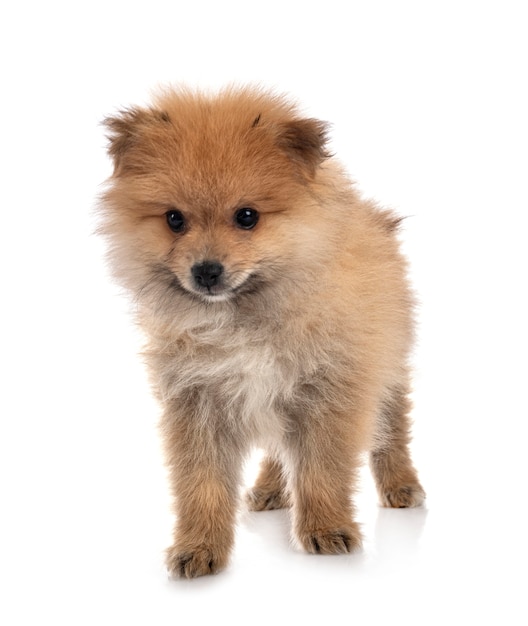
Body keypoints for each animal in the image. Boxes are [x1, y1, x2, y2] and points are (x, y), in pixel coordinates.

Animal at [98, 85, 424, 576]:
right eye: (174, 219)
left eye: (247, 216)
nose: (206, 270)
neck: (241, 319)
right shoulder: (197, 401)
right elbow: (202, 484)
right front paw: (199, 546)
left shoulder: (330, 391)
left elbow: (322, 470)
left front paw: (326, 527)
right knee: (277, 450)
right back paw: (271, 489)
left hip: (389, 367)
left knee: (392, 429)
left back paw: (401, 484)